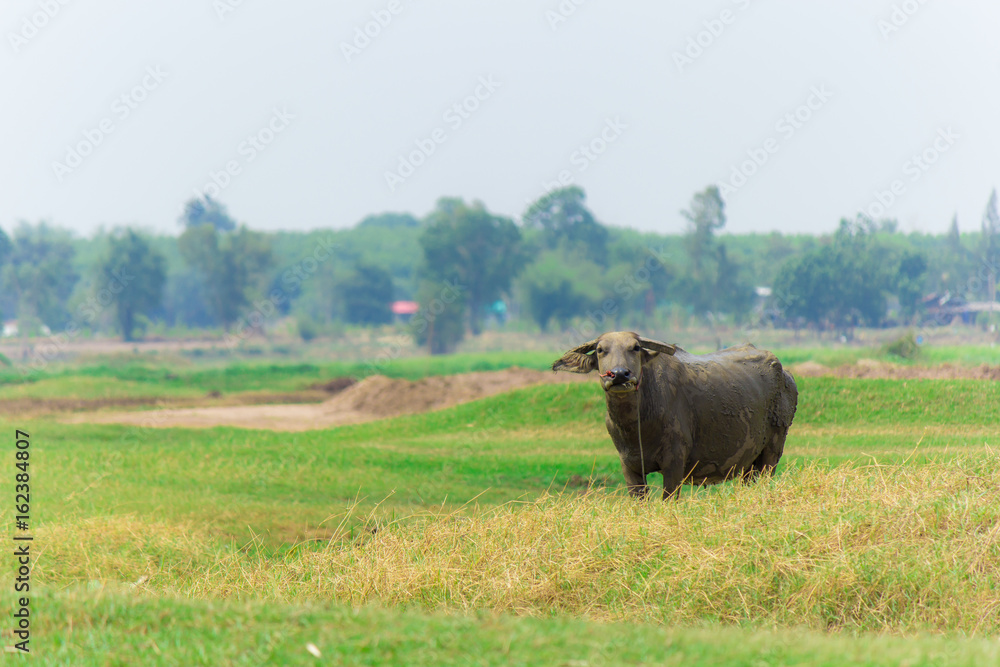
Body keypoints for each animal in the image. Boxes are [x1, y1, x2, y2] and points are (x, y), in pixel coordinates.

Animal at [556, 332, 796, 498]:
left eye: (635, 348)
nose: (619, 374)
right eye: (600, 350)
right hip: (749, 465)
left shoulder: (674, 463)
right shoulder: (629, 466)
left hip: (772, 451)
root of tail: (785, 375)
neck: (638, 425)